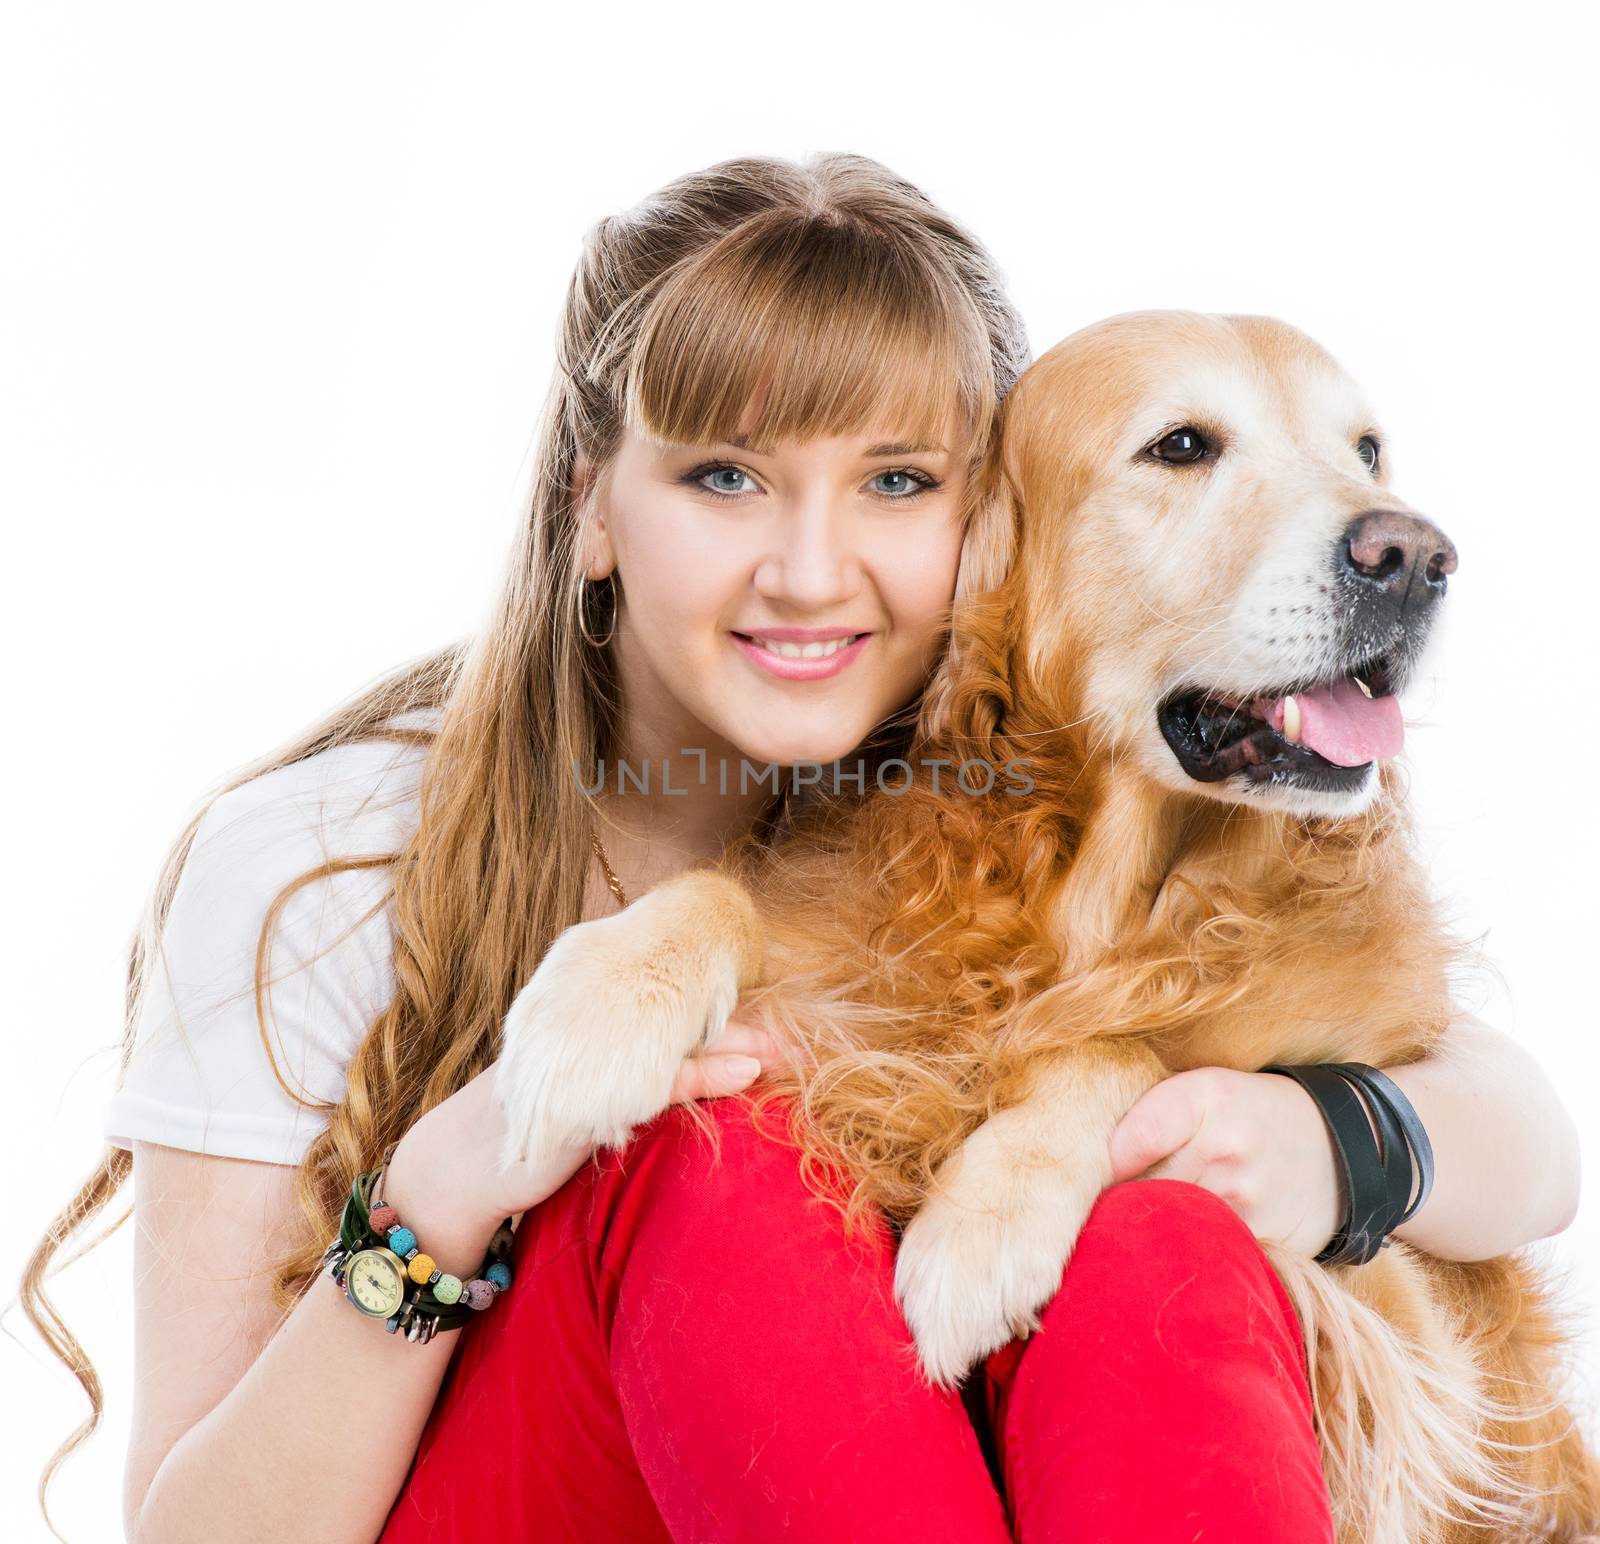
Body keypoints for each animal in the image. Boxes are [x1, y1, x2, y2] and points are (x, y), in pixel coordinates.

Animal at [499, 310, 1600, 1529]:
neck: (1106, 903)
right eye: (1180, 446)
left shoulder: (1417, 1319)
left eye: (1367, 451)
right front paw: (595, 1009)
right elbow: (721, 892)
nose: (1414, 555)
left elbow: (1118, 1048)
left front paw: (985, 1220)